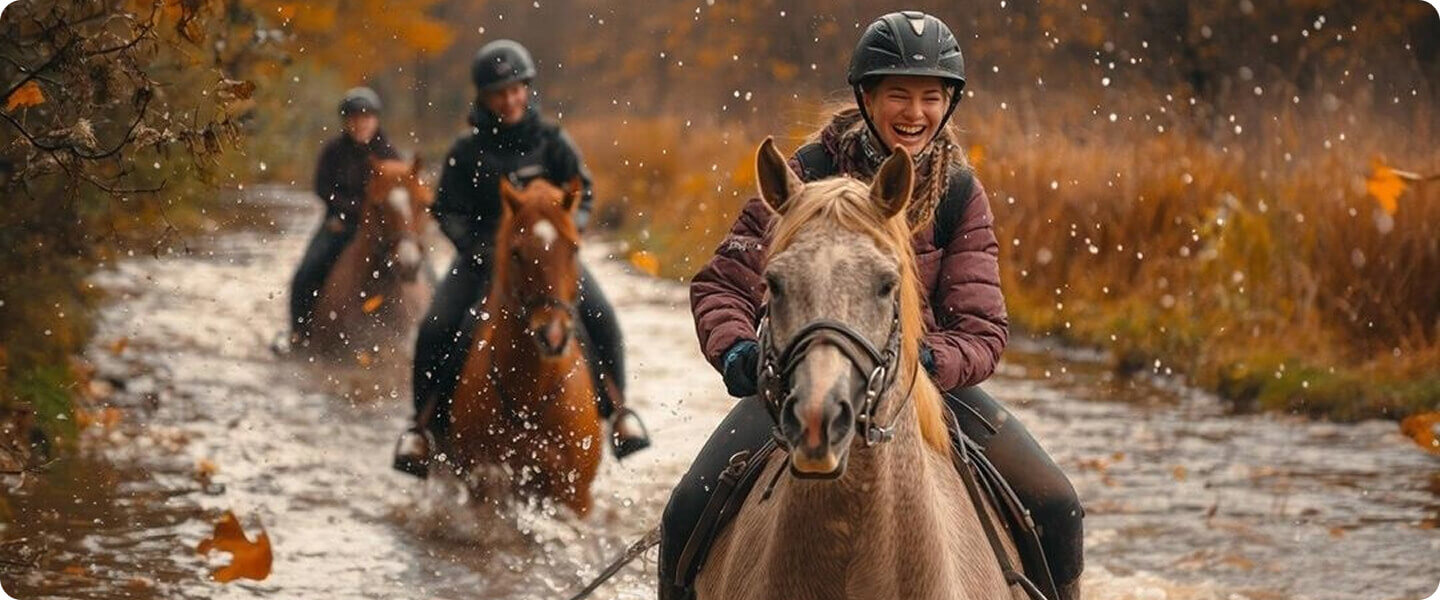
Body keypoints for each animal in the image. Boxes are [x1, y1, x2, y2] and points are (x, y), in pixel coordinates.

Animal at [443, 177, 602, 517]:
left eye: (574, 248)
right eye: (516, 253)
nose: (553, 336)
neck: (530, 393)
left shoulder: (575, 495)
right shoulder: (482, 481)